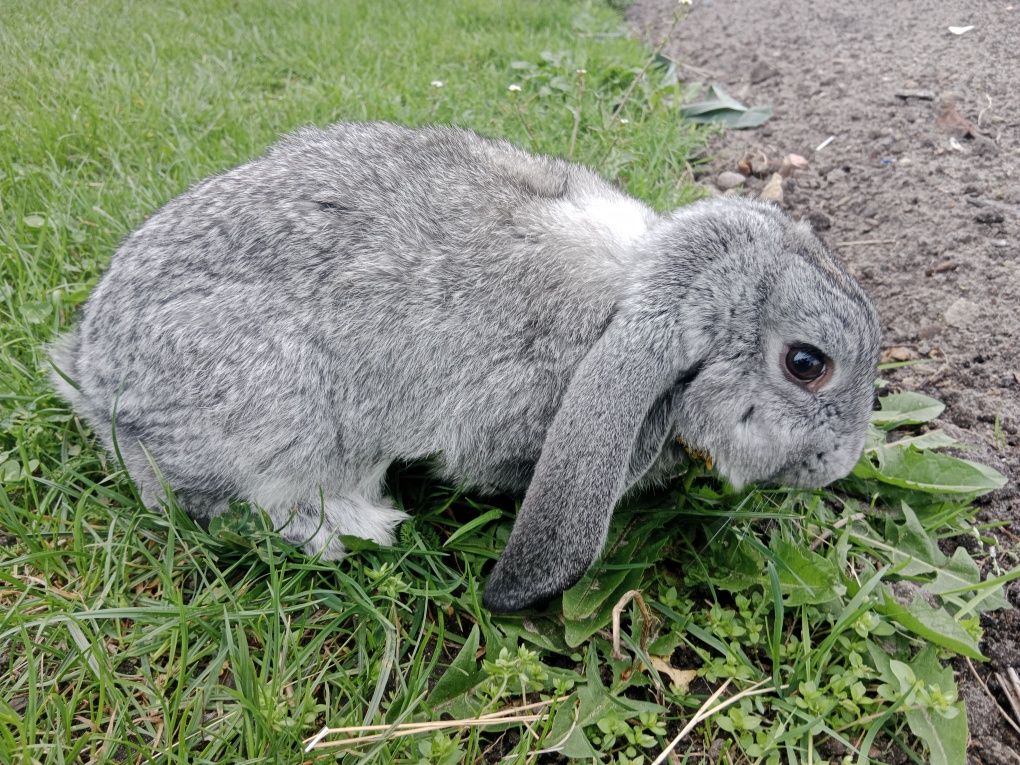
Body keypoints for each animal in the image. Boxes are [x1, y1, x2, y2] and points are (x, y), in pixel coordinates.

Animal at [47, 122, 881, 616]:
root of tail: (96, 378)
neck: (630, 298)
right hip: (282, 411)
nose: (836, 466)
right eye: (807, 363)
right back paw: (359, 525)